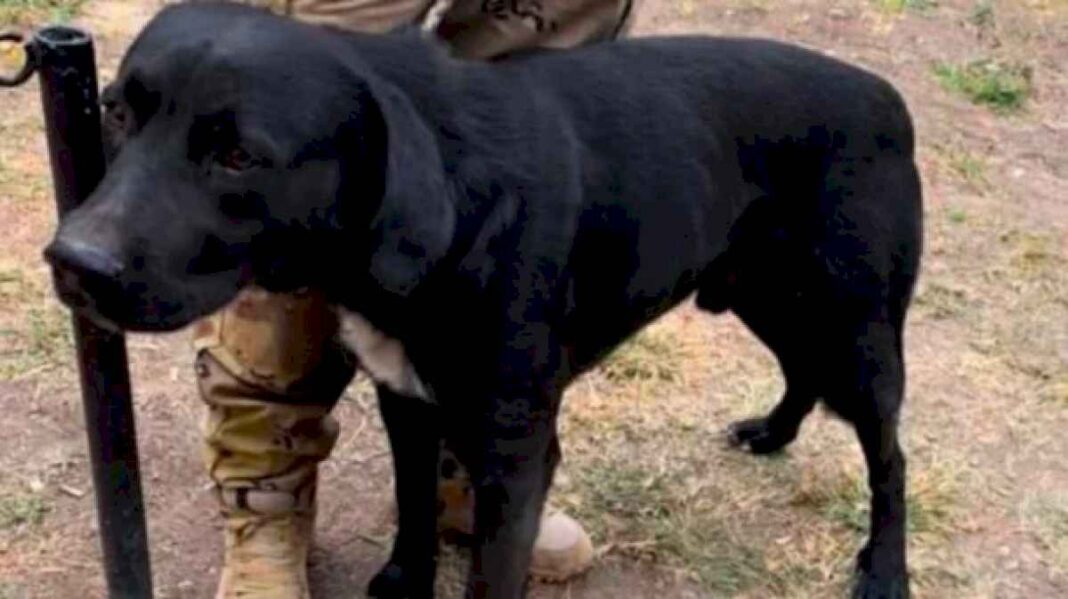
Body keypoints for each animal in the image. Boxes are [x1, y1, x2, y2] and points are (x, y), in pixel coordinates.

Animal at [45, 2, 922, 593]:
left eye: (237, 156)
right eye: (115, 110)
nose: (72, 261)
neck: (446, 208)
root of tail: (886, 94)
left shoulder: (518, 451)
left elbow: (489, 573)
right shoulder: (406, 398)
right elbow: (414, 504)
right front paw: (404, 582)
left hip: (860, 332)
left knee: (890, 456)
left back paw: (884, 570)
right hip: (766, 295)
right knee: (803, 372)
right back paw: (773, 433)